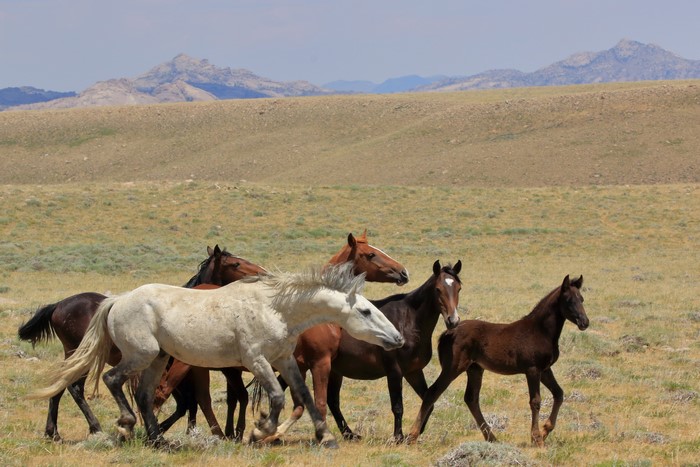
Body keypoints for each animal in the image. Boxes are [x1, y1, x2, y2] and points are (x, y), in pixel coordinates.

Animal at [17, 245, 264, 441]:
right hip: (83, 355)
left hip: (74, 355)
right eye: (236, 263)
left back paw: (53, 432)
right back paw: (94, 427)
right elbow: (185, 401)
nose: (261, 273)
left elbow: (184, 403)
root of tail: (58, 305)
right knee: (75, 387)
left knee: (60, 386)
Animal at [32, 264, 405, 449]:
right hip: (143, 354)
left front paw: (325, 437)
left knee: (143, 395)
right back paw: (124, 426)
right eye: (365, 311)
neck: (276, 308)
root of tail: (117, 300)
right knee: (112, 381)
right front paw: (259, 431)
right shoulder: (257, 361)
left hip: (156, 359)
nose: (397, 338)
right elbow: (276, 397)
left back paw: (159, 441)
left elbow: (305, 397)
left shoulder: (285, 360)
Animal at [153, 230, 409, 440]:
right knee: (175, 394)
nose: (403, 272)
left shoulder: (297, 365)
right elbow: (320, 402)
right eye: (370, 254)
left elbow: (300, 402)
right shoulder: (320, 362)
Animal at [271, 260, 462, 442]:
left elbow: (428, 400)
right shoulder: (394, 371)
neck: (408, 320)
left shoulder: (413, 372)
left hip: (331, 371)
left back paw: (348, 434)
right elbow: (397, 406)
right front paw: (398, 437)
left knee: (332, 401)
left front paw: (414, 433)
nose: (453, 320)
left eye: (459, 288)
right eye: (438, 289)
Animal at [406, 275, 589, 447]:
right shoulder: (533, 370)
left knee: (471, 399)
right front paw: (537, 438)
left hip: (475, 369)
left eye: (581, 299)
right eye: (568, 300)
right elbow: (535, 401)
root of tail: (447, 333)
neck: (540, 331)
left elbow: (559, 394)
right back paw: (412, 436)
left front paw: (545, 431)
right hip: (453, 368)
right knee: (432, 393)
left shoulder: (545, 369)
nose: (584, 322)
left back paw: (492, 438)